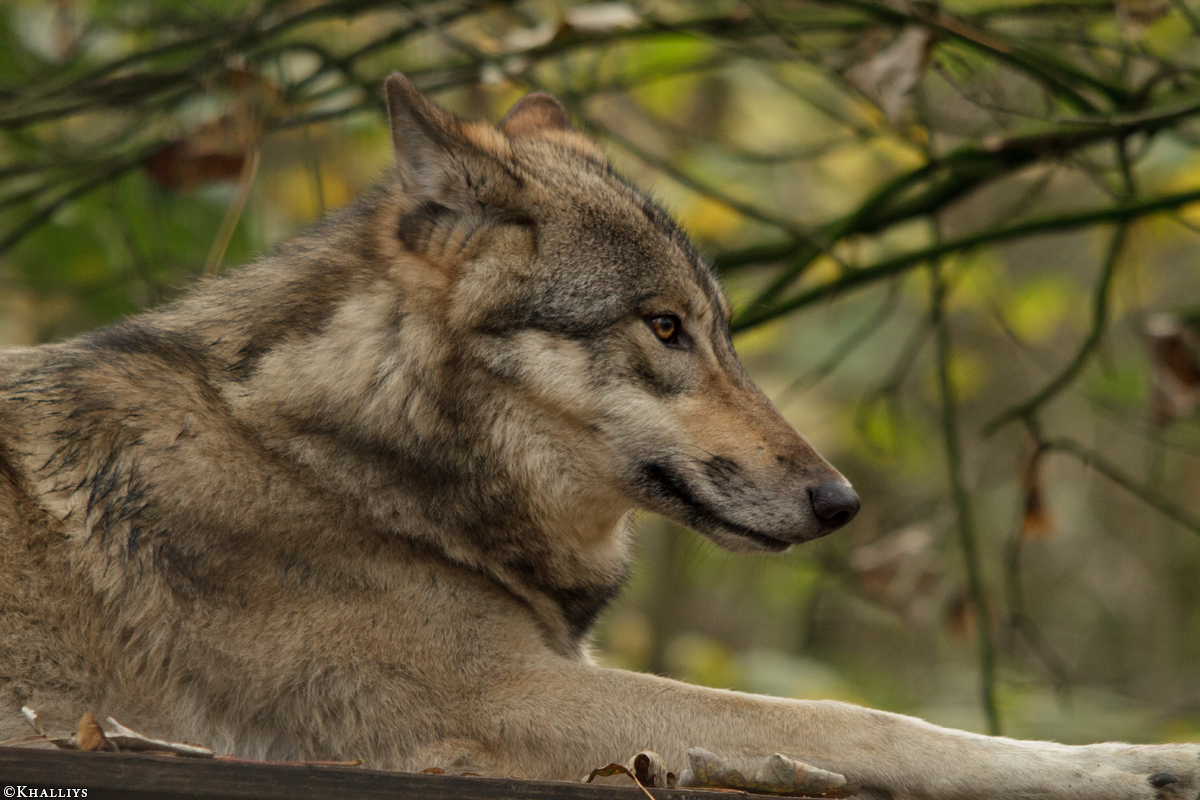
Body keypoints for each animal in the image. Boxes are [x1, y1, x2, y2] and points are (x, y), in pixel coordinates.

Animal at [0, 74, 1197, 799]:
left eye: (721, 330)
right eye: (663, 328)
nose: (840, 501)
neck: (348, 463)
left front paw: (1149, 750)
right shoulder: (503, 703)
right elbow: (862, 721)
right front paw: (1094, 770)